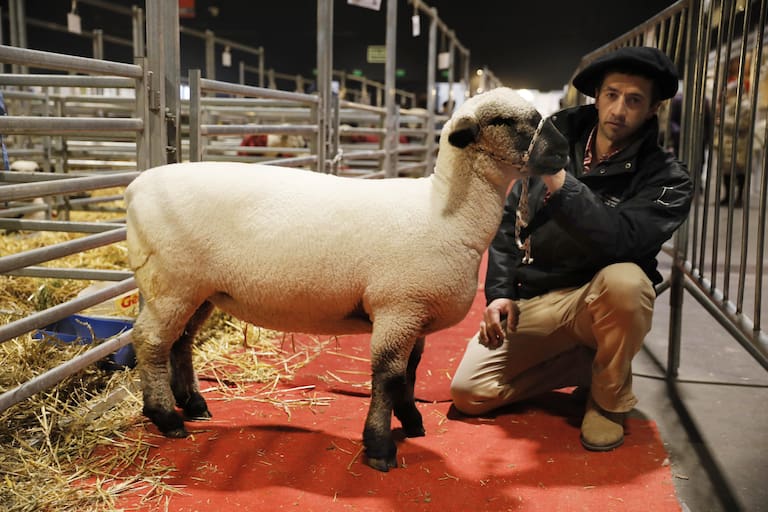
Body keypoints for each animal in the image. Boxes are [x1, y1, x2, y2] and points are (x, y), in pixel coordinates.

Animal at [126, 85, 568, 472]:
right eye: (504, 120)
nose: (564, 149)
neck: (445, 213)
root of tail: (137, 185)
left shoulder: (416, 312)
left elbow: (411, 371)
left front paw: (411, 421)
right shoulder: (398, 308)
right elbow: (388, 376)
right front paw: (380, 447)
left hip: (198, 289)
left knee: (179, 342)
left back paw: (193, 404)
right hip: (171, 282)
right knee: (149, 342)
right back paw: (166, 417)